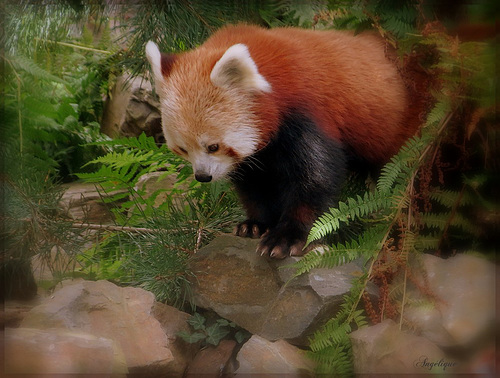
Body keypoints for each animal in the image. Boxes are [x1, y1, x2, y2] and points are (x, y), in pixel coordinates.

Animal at [146, 24, 418, 260]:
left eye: (213, 146)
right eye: (182, 150)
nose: (203, 176)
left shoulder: (307, 112)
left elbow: (315, 178)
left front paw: (288, 237)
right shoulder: (258, 154)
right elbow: (255, 184)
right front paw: (256, 224)